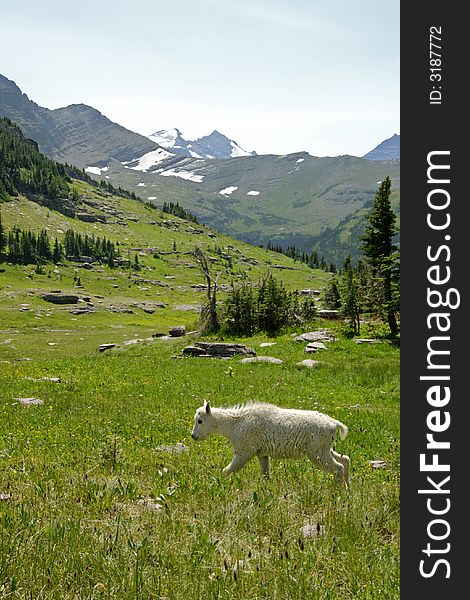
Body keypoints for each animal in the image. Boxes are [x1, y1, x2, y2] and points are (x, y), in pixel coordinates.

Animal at [190, 400, 348, 486]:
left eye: (200, 421)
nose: (193, 436)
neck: (235, 423)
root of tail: (333, 423)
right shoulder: (262, 454)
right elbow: (265, 474)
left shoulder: (244, 452)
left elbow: (227, 470)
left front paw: (217, 482)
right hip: (324, 449)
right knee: (345, 460)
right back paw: (348, 490)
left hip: (317, 452)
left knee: (338, 467)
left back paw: (336, 491)